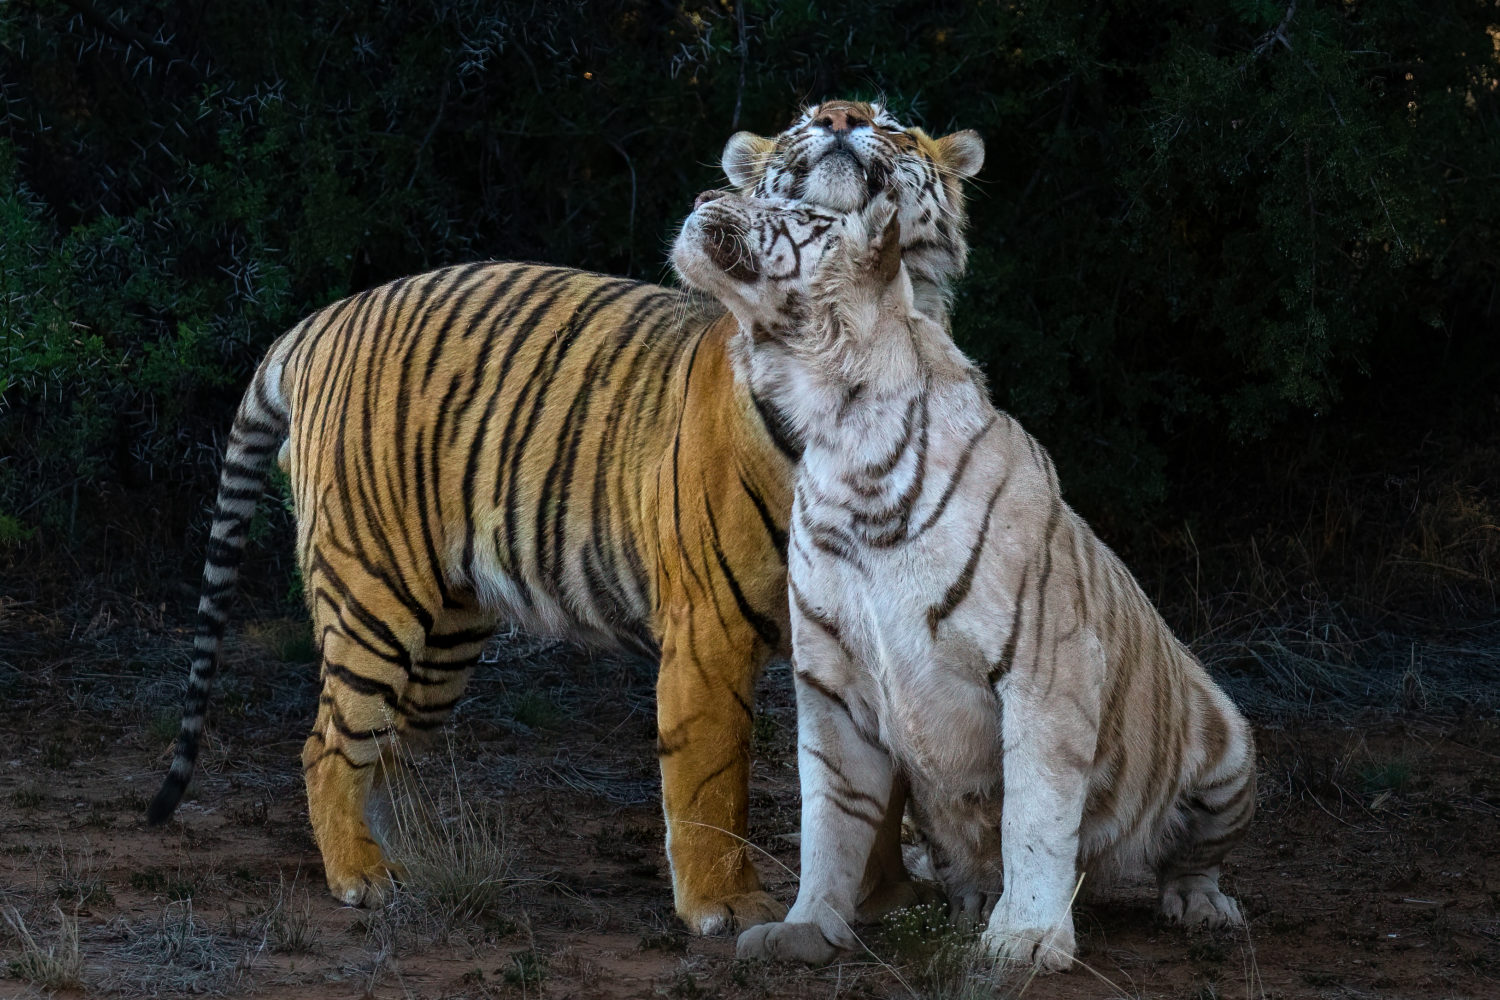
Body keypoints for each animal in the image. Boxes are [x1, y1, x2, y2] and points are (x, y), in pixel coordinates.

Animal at [669, 191, 1254, 971]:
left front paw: (1026, 938)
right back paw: (969, 902)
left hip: (1229, 744)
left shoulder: (1046, 668)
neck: (840, 425)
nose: (705, 197)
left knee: (1190, 858)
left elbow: (1035, 814)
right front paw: (807, 926)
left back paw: (1199, 906)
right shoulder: (829, 681)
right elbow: (831, 815)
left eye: (795, 207)